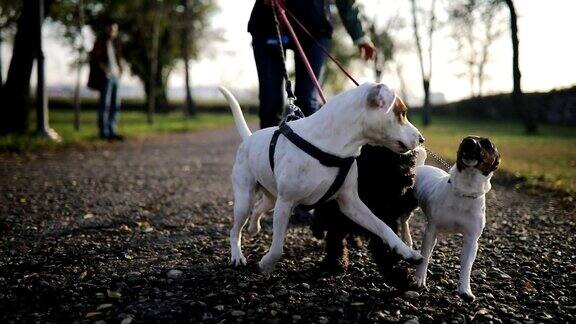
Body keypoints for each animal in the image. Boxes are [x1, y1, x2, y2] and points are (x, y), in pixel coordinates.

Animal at [310, 144, 418, 286]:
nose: (412, 199)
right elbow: (335, 237)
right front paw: (335, 262)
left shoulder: (386, 211)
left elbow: (384, 239)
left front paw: (396, 272)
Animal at [404, 137, 500, 302]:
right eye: (464, 140)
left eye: (487, 143)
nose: (469, 141)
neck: (465, 190)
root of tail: (420, 167)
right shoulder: (431, 232)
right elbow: (425, 257)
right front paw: (419, 279)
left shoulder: (471, 240)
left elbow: (467, 266)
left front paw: (465, 290)